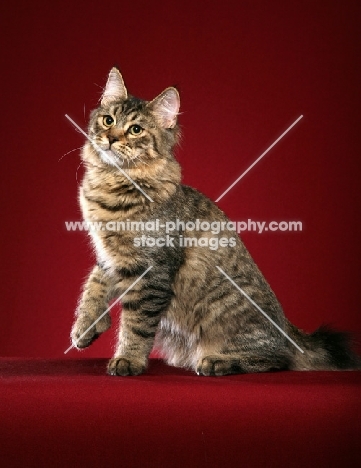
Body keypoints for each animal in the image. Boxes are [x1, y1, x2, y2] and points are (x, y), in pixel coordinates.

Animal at [69, 66, 358, 376]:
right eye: (108, 120)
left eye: (136, 130)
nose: (110, 138)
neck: (112, 183)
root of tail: (288, 330)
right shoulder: (108, 255)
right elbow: (93, 287)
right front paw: (85, 328)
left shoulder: (150, 270)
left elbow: (136, 326)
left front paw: (127, 360)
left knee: (278, 359)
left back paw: (217, 361)